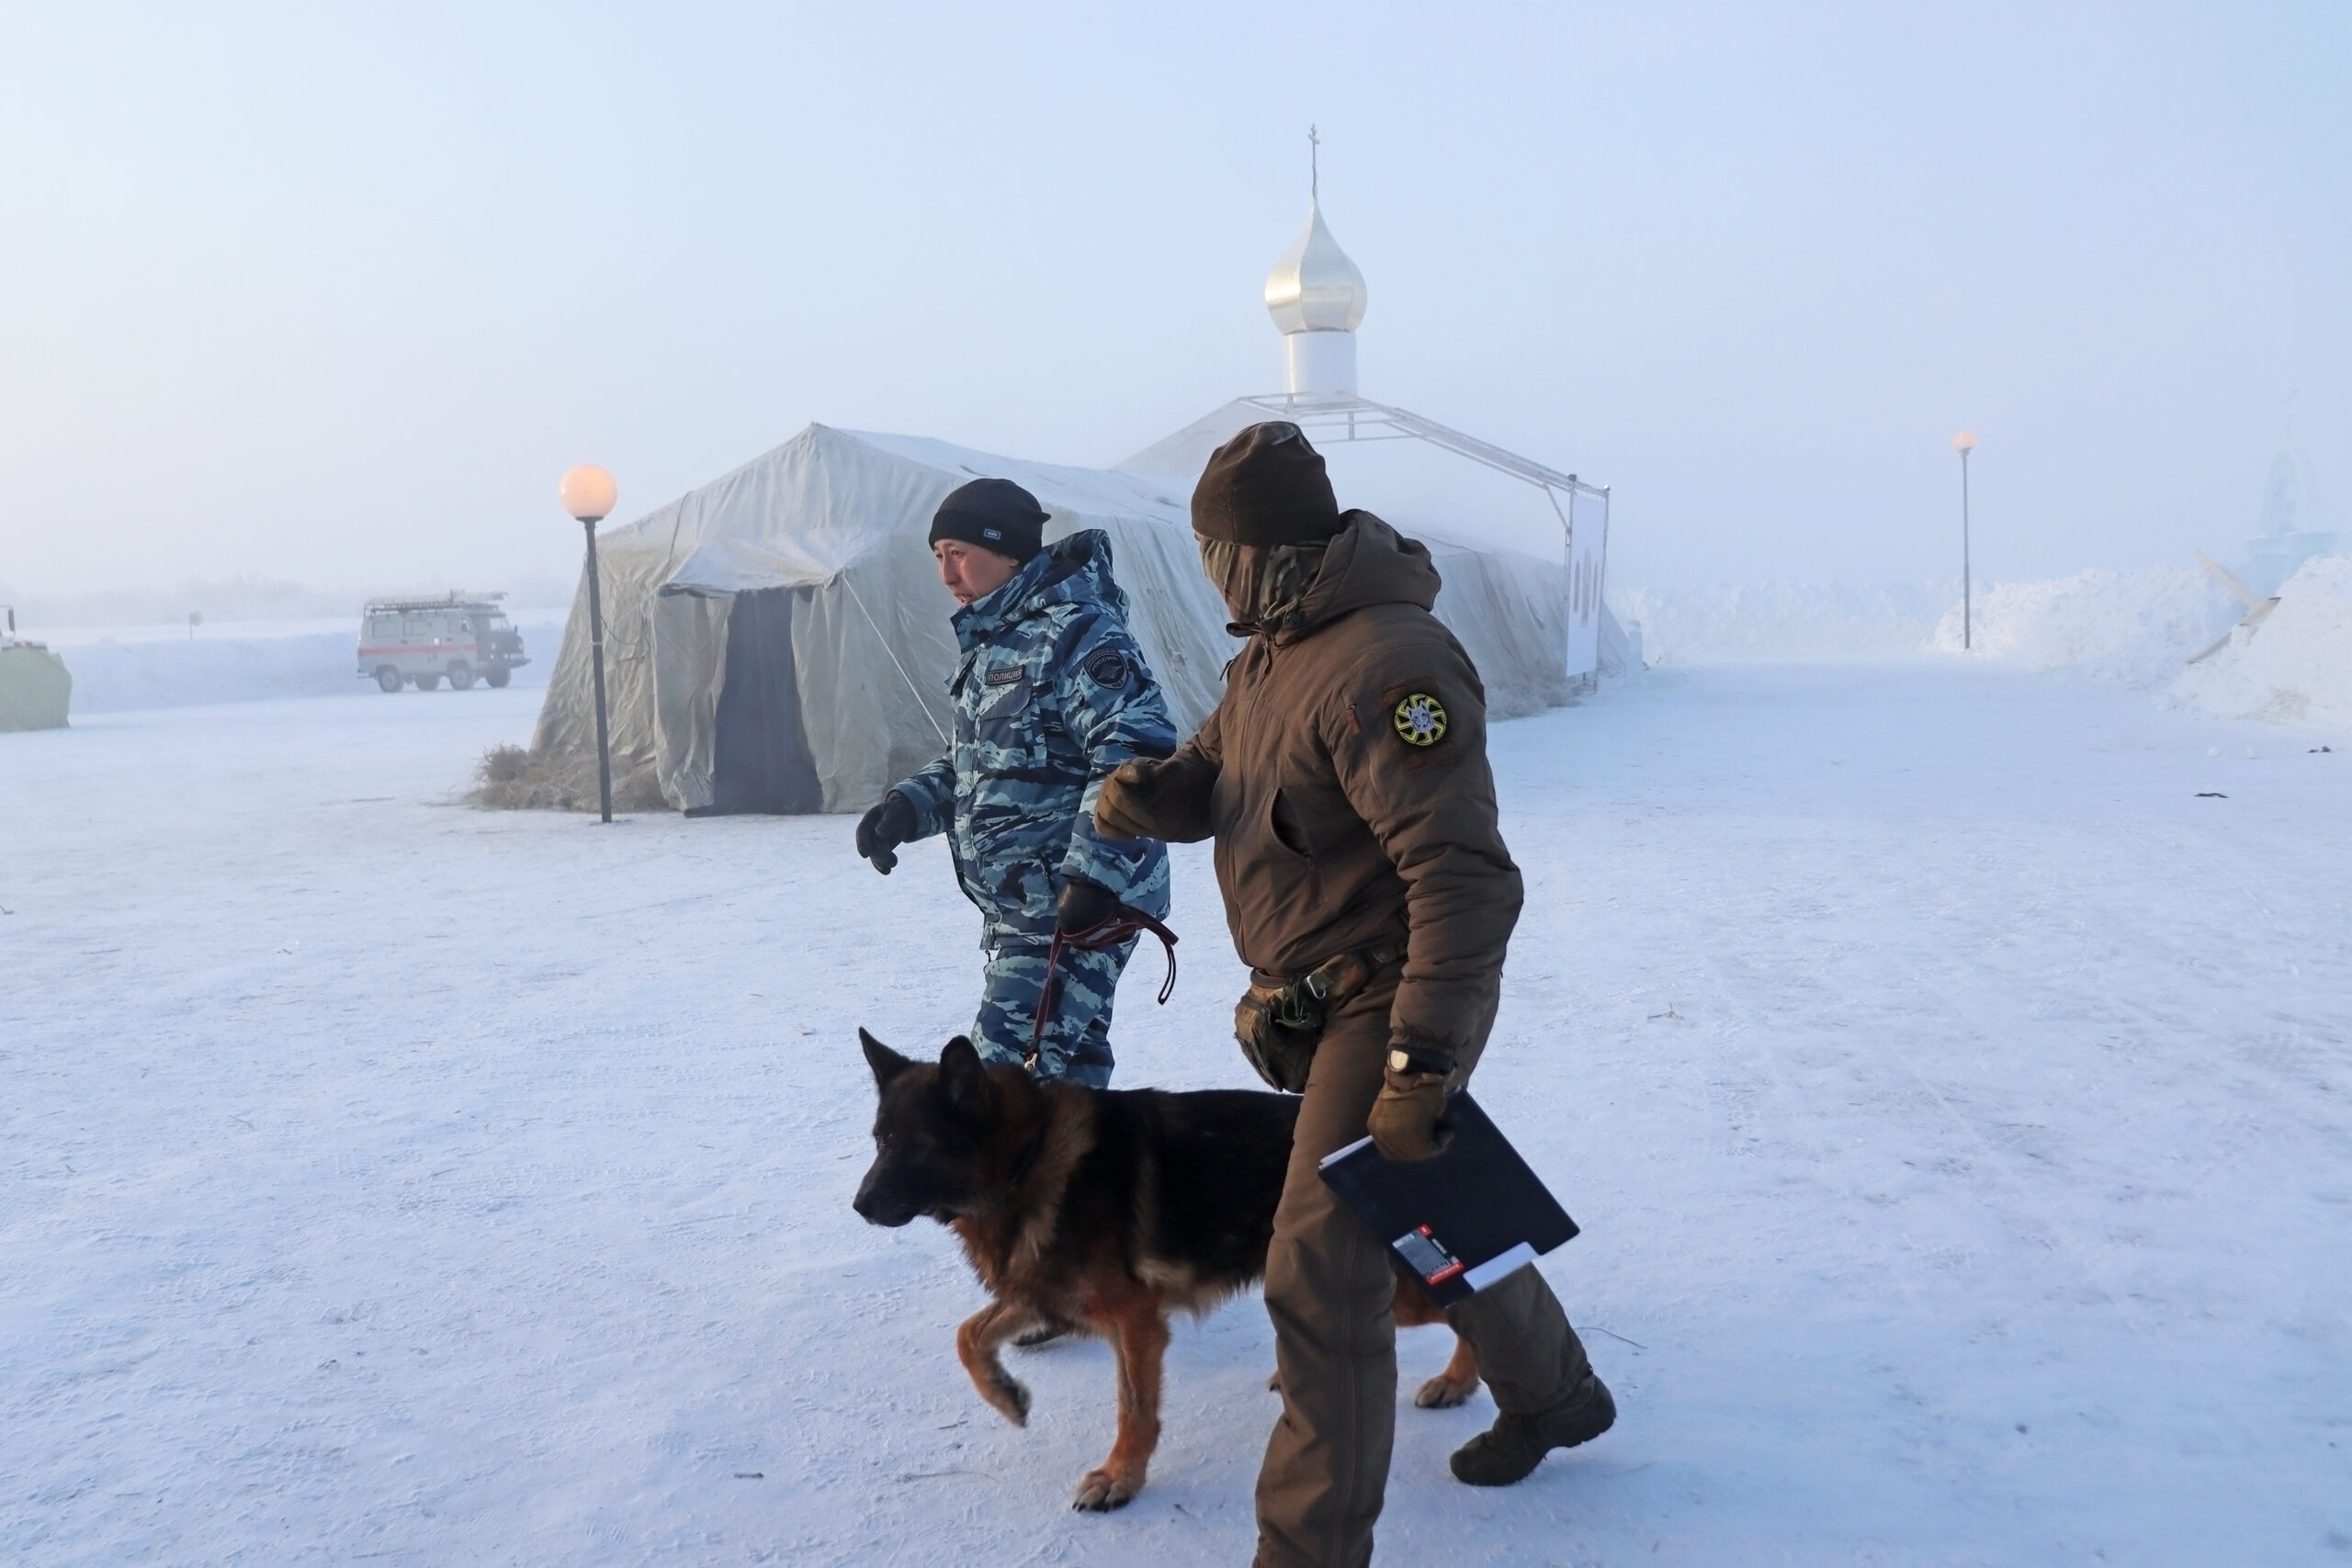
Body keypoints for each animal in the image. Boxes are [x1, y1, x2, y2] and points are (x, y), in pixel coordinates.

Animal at [846, 1029, 1476, 1504]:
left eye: (919, 1145)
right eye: (880, 1141)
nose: (860, 1206)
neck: (1027, 1159)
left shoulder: (1134, 1322)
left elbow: (1135, 1411)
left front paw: (1121, 1479)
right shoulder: (1045, 1294)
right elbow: (968, 1335)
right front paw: (1004, 1394)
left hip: (1404, 1289)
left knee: (1474, 1307)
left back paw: (1457, 1384)